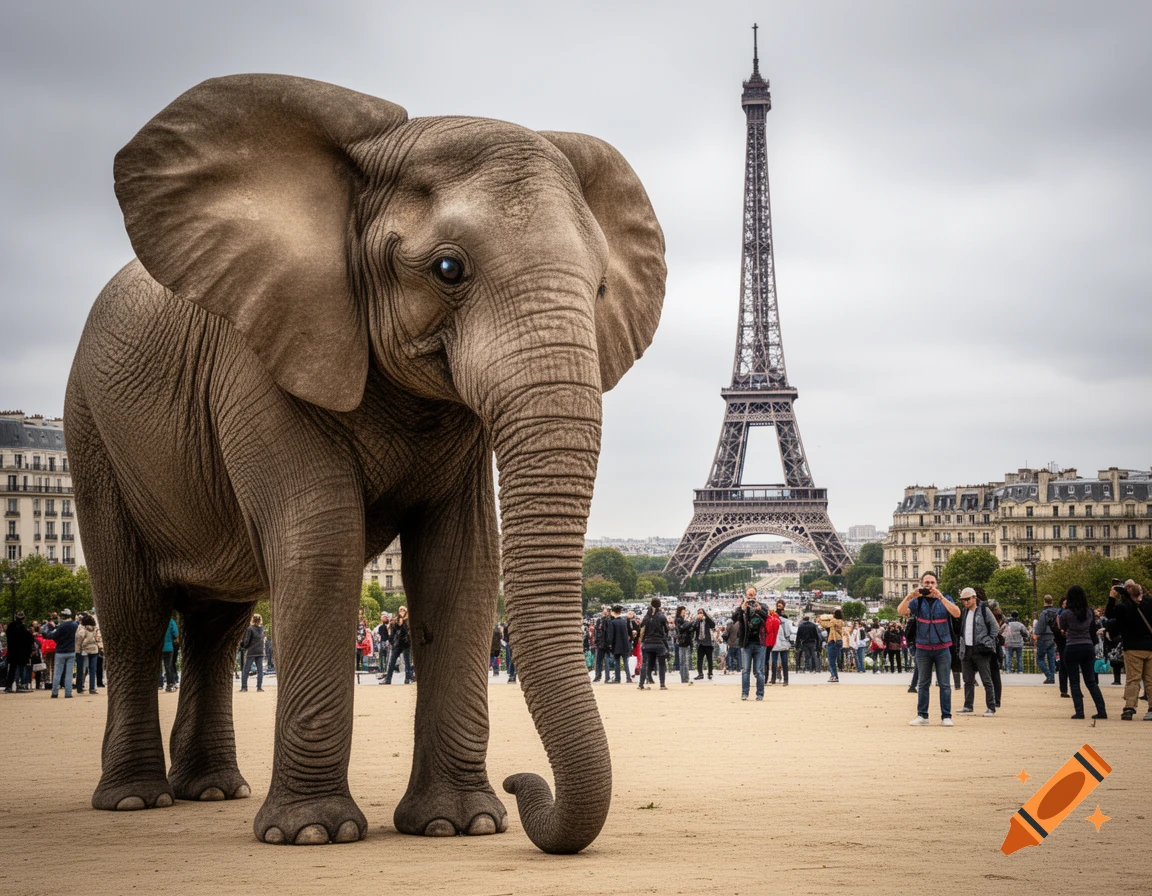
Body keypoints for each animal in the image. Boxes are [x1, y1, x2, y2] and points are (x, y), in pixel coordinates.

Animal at [64, 74, 665, 853]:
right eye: (448, 270)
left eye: (598, 289)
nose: (523, 781)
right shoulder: (264, 353)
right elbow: (323, 546)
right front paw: (314, 834)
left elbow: (461, 565)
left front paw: (458, 825)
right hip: (91, 432)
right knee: (134, 613)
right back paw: (137, 800)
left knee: (217, 628)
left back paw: (212, 791)